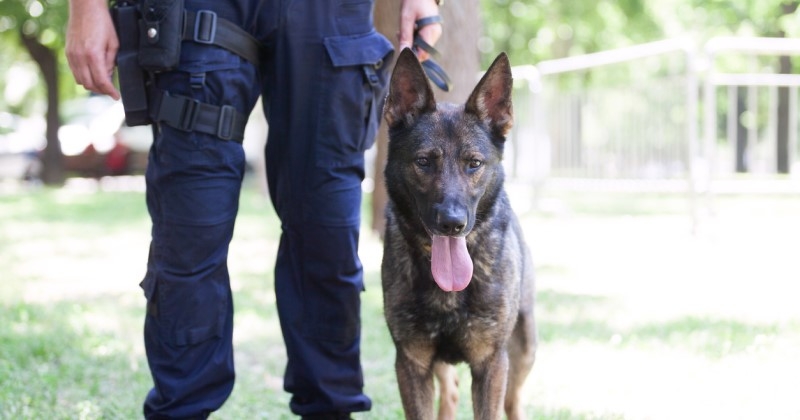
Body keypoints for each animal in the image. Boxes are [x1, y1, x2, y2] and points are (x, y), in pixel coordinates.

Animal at [382, 47, 536, 418]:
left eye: (474, 164)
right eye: (424, 162)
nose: (452, 223)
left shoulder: (492, 364)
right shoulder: (411, 363)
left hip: (523, 351)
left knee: (513, 401)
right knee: (450, 394)